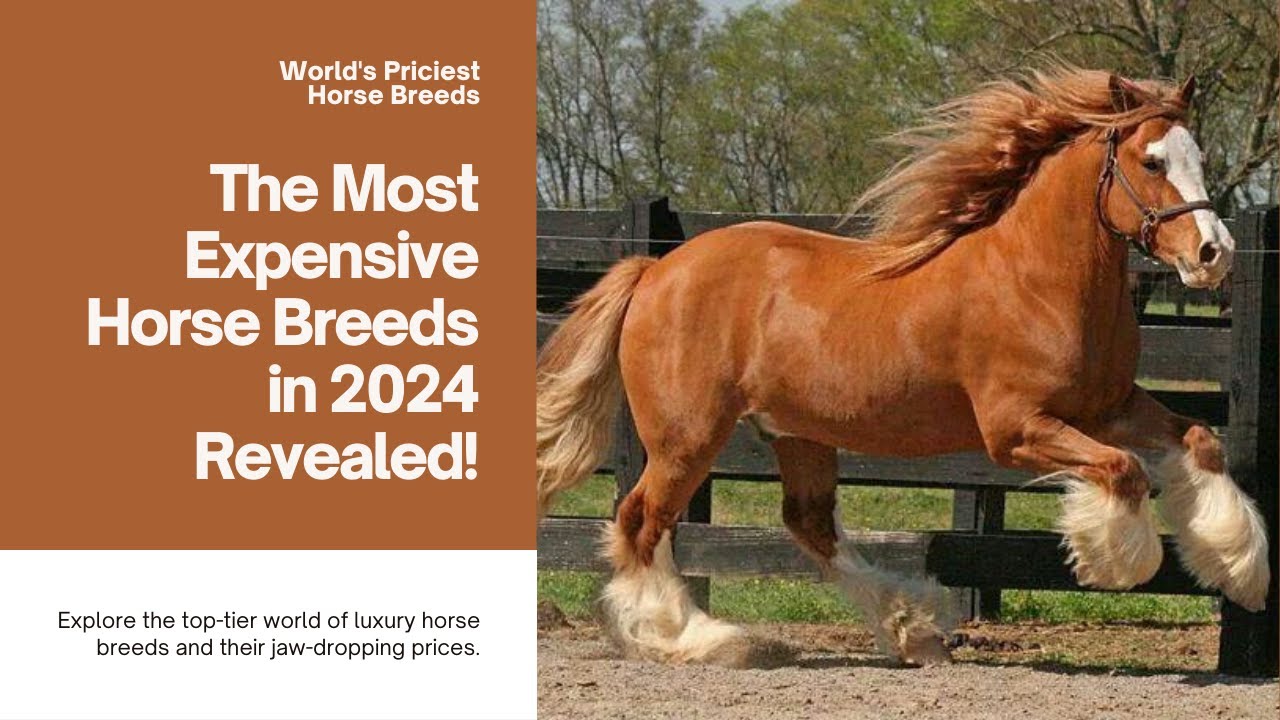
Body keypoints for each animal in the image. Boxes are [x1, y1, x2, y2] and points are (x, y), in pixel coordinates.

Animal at [535, 68, 1269, 667]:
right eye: (1151, 160)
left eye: (1200, 156)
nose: (1214, 254)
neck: (1037, 280)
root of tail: (655, 269)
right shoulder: (1016, 430)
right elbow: (1123, 471)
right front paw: (1113, 561)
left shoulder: (1110, 407)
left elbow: (1199, 442)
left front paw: (1240, 568)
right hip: (687, 436)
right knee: (641, 518)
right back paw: (692, 638)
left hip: (798, 433)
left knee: (807, 524)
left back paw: (913, 627)